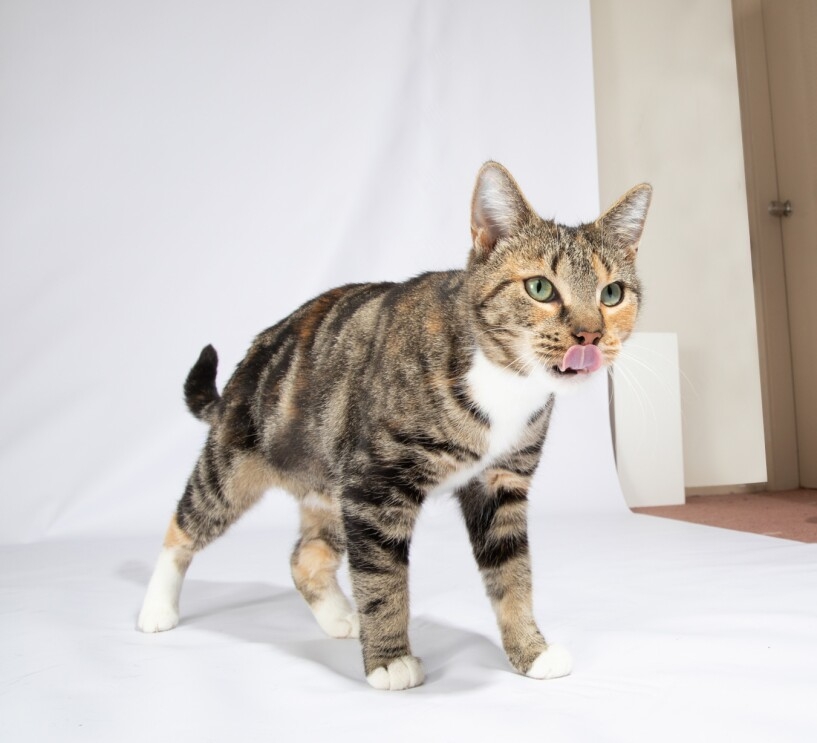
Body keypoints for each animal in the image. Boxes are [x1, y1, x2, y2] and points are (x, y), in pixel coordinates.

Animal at [139, 163, 652, 692]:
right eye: (540, 288)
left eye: (612, 293)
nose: (590, 335)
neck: (501, 379)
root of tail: (256, 352)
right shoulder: (375, 487)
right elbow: (383, 579)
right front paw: (390, 660)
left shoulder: (501, 483)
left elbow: (512, 574)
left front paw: (531, 651)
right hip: (236, 464)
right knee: (187, 523)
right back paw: (157, 607)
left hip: (331, 487)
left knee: (305, 556)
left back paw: (339, 616)